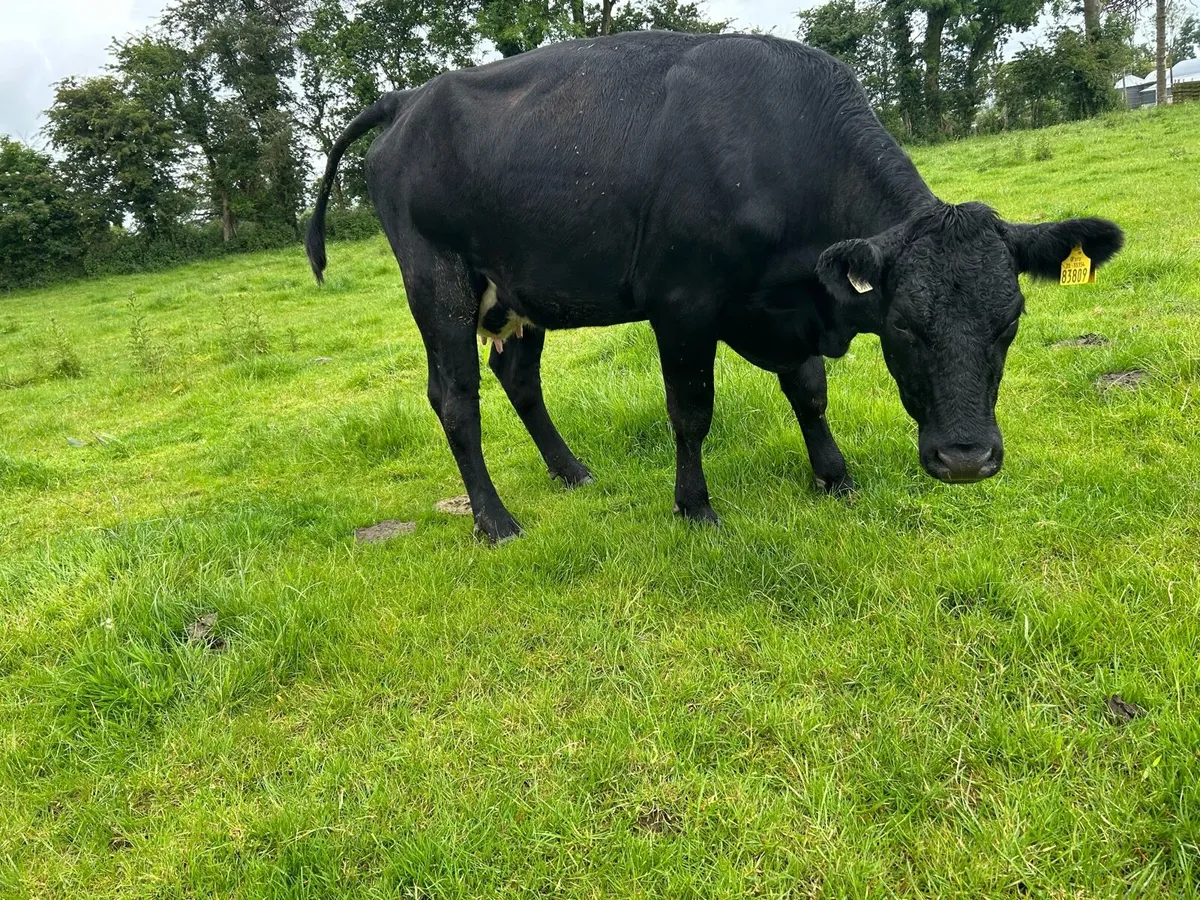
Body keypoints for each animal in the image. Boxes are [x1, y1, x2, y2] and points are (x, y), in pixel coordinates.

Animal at [306, 31, 1124, 543]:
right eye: (903, 326)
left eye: (1009, 323)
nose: (965, 460)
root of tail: (409, 100)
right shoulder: (683, 307)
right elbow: (692, 413)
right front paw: (694, 507)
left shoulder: (790, 306)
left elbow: (810, 392)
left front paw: (834, 476)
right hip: (438, 281)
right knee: (455, 399)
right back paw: (495, 520)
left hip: (517, 291)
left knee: (517, 376)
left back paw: (571, 471)